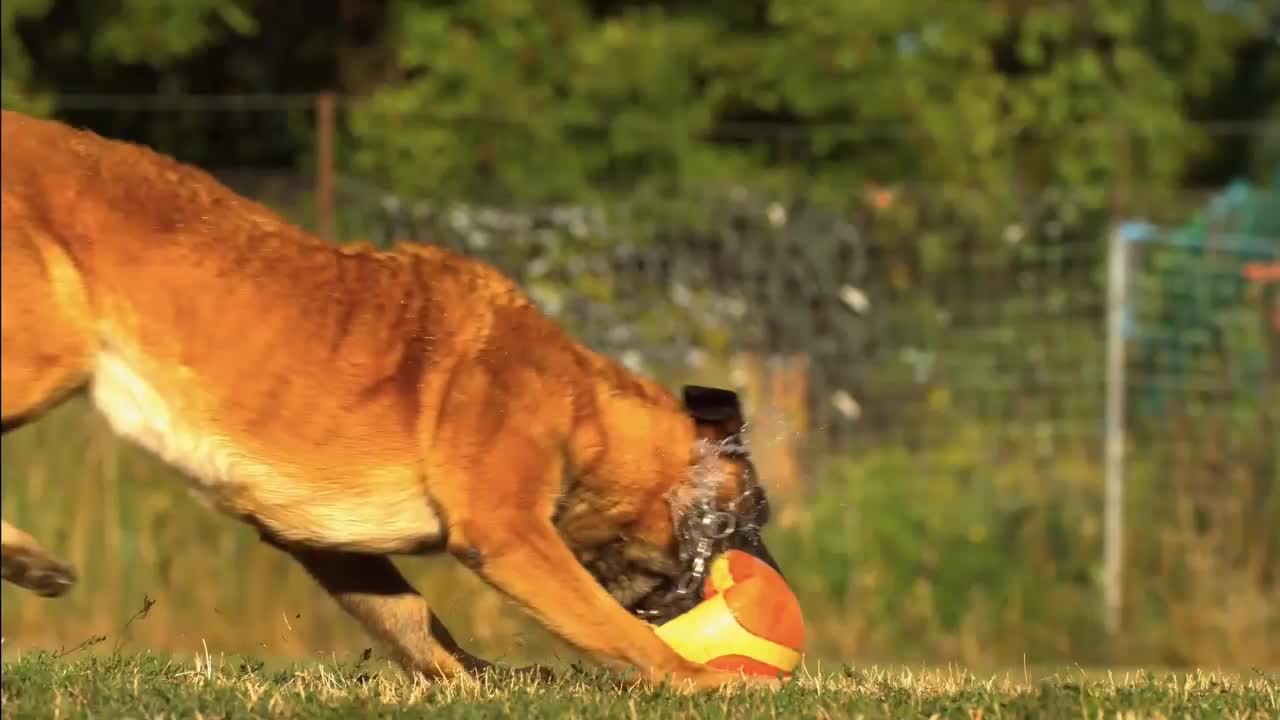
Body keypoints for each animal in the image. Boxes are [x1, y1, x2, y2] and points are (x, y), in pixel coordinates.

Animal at [0, 112, 783, 691]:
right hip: (49, 354)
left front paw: (483, 681)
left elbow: (412, 620)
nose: (767, 578)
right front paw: (706, 682)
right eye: (752, 514)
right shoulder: (508, 533)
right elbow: (615, 628)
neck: (586, 406)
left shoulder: (327, 544)